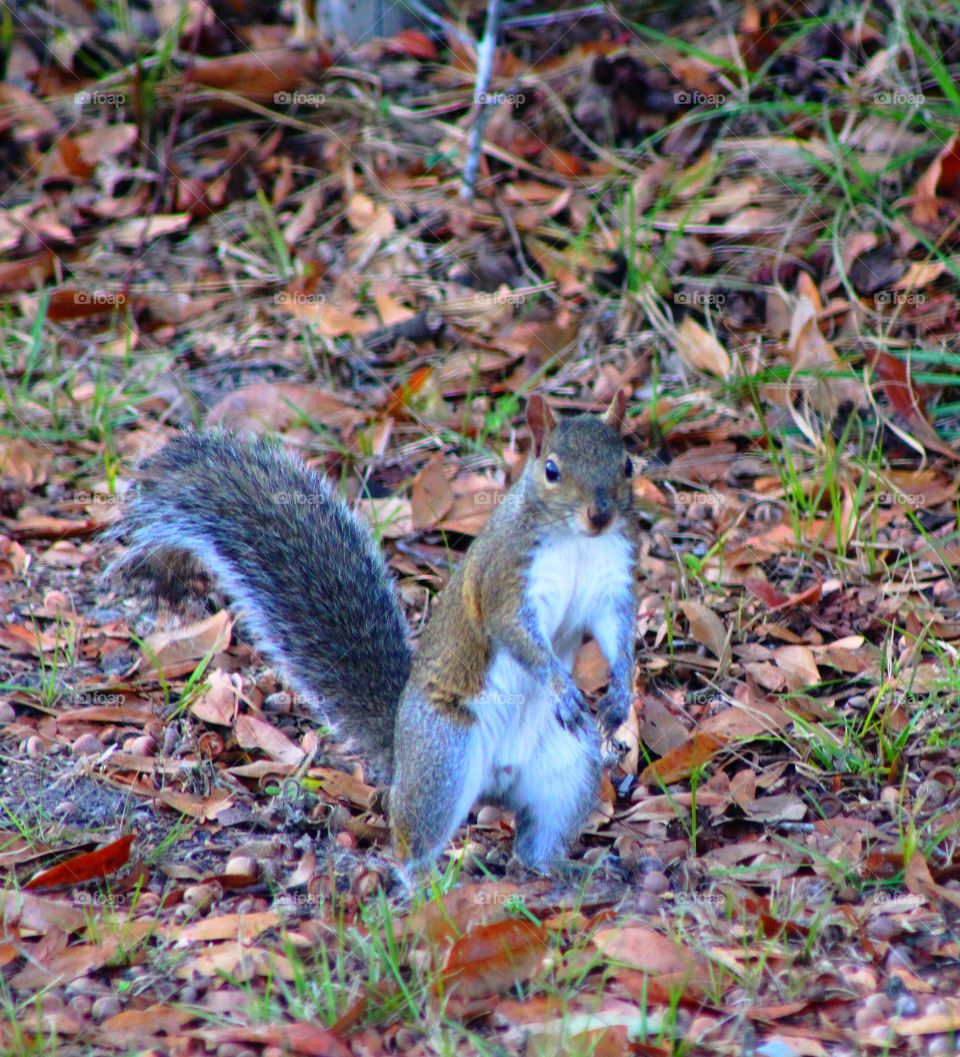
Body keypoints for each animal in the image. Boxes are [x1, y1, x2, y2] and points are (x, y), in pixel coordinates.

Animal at [112, 393, 638, 870]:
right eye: (551, 470)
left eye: (628, 464)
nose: (600, 514)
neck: (576, 541)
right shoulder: (503, 581)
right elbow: (518, 635)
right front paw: (561, 686)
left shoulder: (611, 585)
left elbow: (616, 634)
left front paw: (618, 695)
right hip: (444, 754)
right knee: (411, 838)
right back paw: (428, 884)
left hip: (569, 767)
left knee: (536, 845)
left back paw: (565, 867)